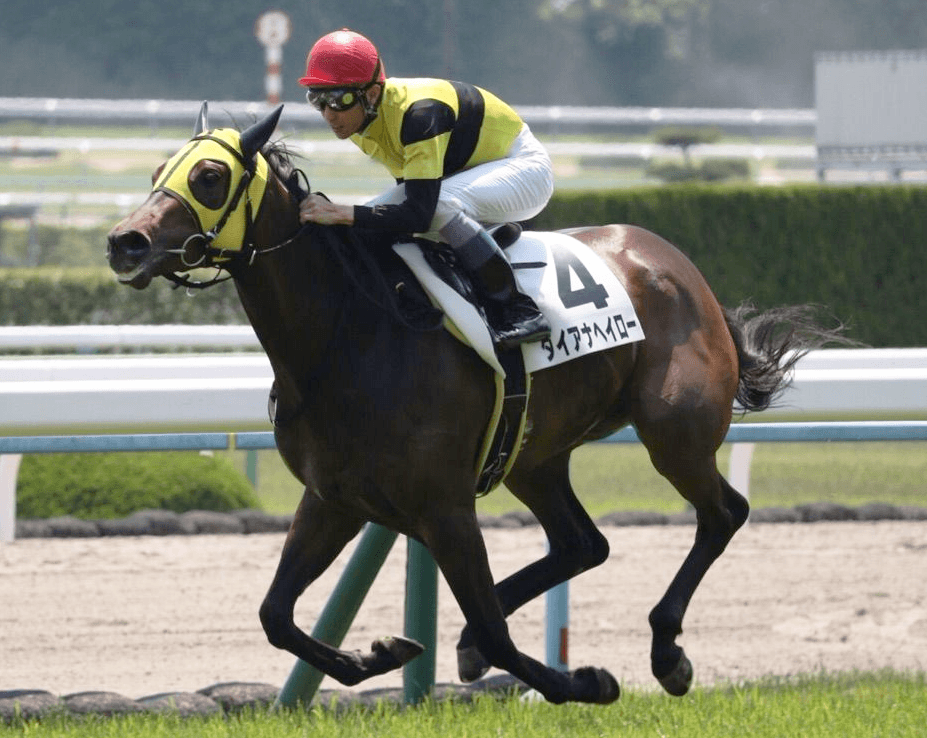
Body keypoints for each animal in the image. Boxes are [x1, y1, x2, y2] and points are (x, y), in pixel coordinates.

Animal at [106, 104, 849, 705]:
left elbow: (497, 637)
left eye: (209, 177)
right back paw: (468, 640)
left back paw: (667, 653)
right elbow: (276, 615)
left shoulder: (444, 506)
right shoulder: (335, 498)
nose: (125, 242)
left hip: (673, 431)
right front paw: (382, 653)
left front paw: (588, 682)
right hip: (534, 457)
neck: (348, 335)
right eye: (157, 170)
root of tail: (671, 260)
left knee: (722, 514)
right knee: (584, 542)